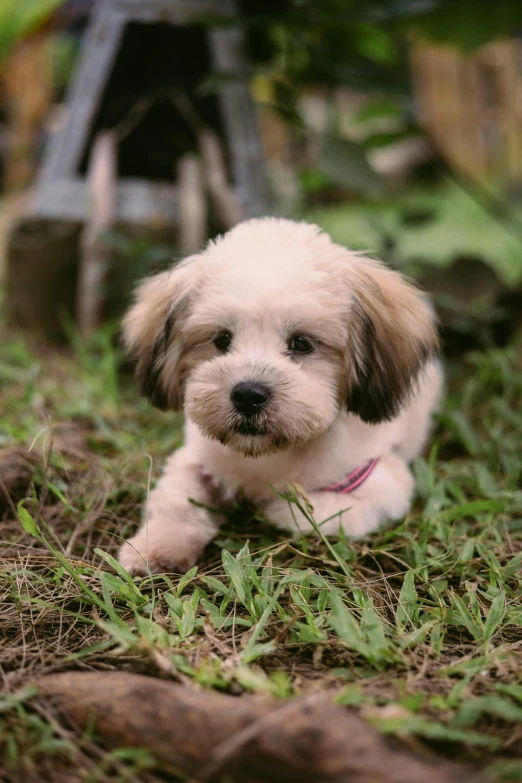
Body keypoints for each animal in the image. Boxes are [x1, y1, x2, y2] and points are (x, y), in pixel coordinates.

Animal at [120, 220, 440, 576]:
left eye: (301, 343)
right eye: (221, 339)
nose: (248, 394)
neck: (270, 455)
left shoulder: (376, 483)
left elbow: (303, 509)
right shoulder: (193, 461)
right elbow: (178, 503)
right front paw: (157, 547)